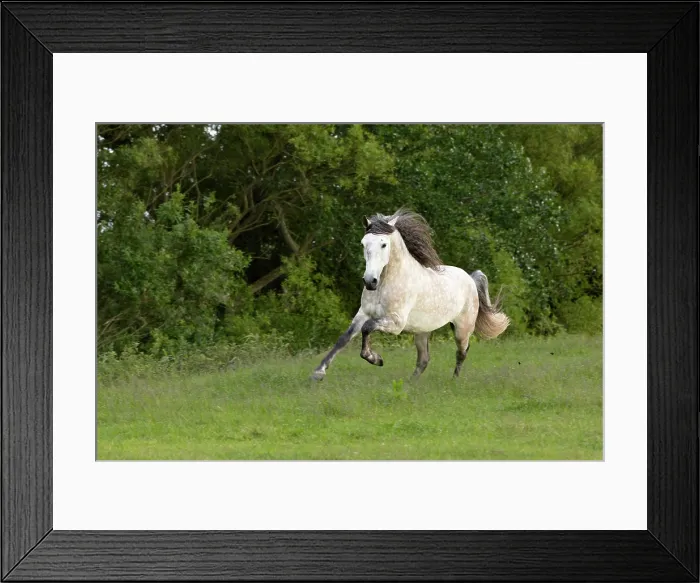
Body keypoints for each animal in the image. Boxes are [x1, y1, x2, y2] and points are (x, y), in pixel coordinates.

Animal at [310, 209, 510, 381]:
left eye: (383, 244)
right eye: (363, 243)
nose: (369, 281)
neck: (386, 283)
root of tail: (470, 278)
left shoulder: (396, 322)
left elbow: (368, 328)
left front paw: (376, 359)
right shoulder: (363, 313)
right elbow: (344, 338)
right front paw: (318, 373)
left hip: (462, 329)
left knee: (462, 352)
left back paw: (453, 381)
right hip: (422, 331)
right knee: (424, 359)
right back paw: (410, 384)